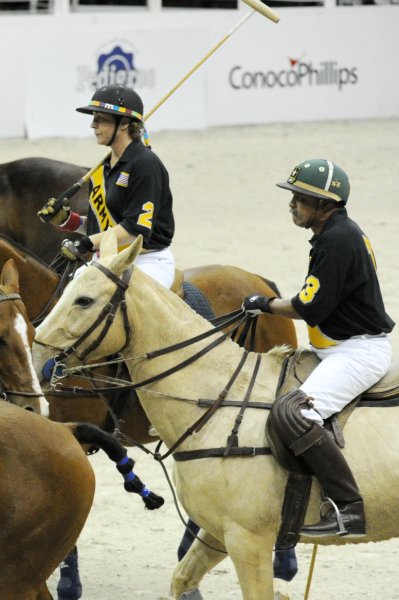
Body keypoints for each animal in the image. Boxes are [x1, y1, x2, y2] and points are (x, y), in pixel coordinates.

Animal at [32, 232, 399, 596]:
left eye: (84, 300)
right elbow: (182, 578)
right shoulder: (218, 534)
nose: (35, 360)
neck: (216, 402)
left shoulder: (248, 540)